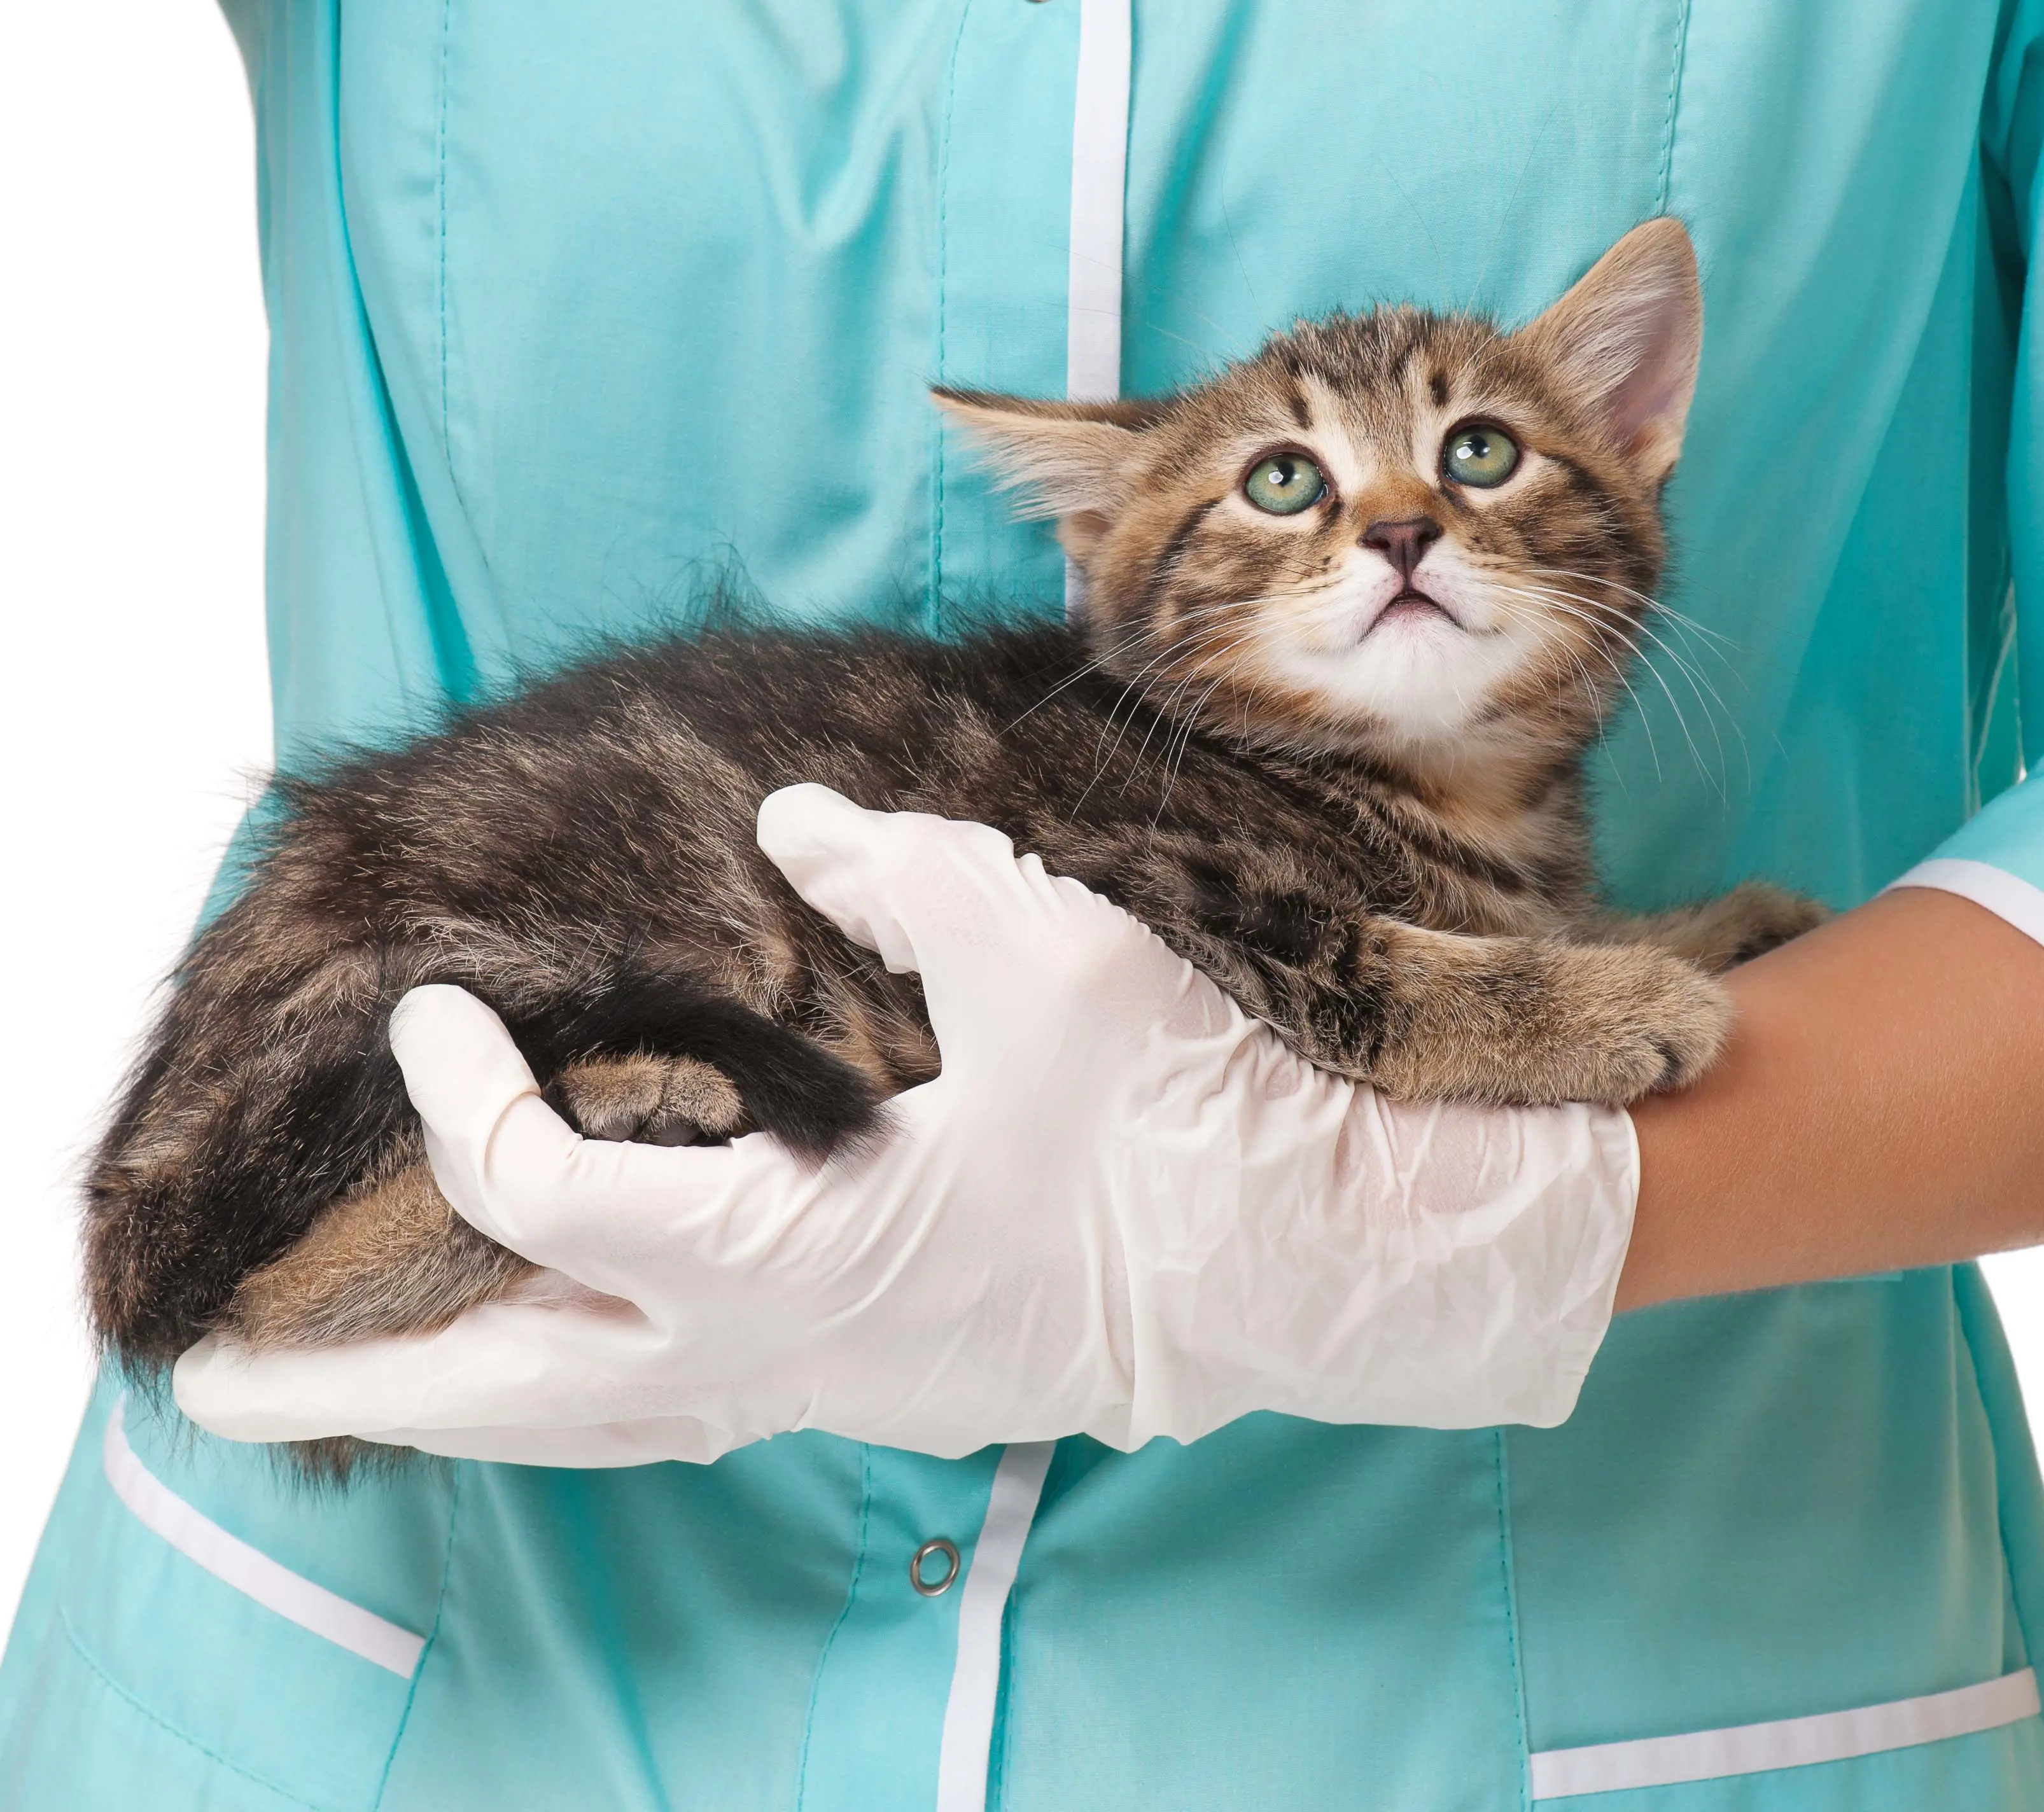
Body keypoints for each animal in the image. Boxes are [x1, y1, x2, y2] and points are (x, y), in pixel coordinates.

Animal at [80, 216, 1823, 1372]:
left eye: (1478, 452)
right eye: (1281, 480)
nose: (1402, 529)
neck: (1432, 783)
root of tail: (142, 1155)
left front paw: (1708, 920)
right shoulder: (1113, 870)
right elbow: (1367, 963)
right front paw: (1607, 999)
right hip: (501, 956)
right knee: (257, 1296)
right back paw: (636, 1105)